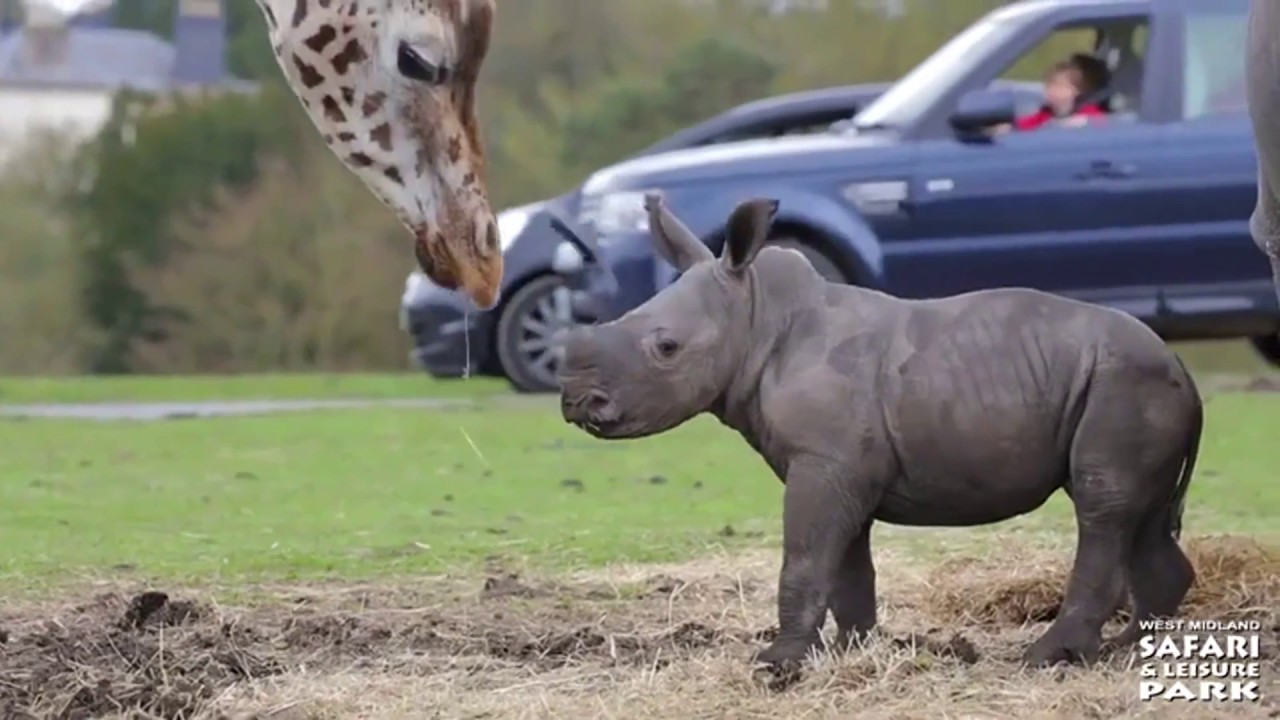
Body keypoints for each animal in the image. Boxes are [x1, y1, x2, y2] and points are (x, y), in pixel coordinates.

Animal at [557, 194, 1203, 669]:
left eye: (665, 349)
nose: (574, 402)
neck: (756, 316)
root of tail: (1183, 370)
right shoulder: (842, 464)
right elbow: (846, 564)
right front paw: (853, 651)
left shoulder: (825, 463)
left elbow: (806, 556)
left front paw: (777, 664)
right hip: (1128, 384)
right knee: (1137, 513)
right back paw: (1134, 649)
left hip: (1123, 382)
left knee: (1101, 505)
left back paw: (1047, 658)